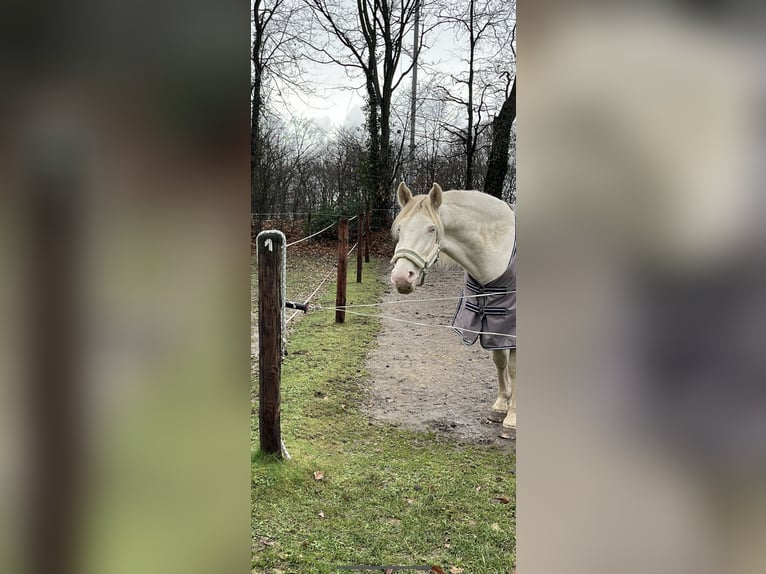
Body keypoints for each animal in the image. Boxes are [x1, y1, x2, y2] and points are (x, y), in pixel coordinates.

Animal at [392, 182, 520, 430]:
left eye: (432, 229)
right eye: (400, 228)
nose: (402, 277)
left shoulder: (512, 328)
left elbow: (514, 368)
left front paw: (513, 419)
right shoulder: (494, 324)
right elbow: (500, 361)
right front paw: (501, 406)